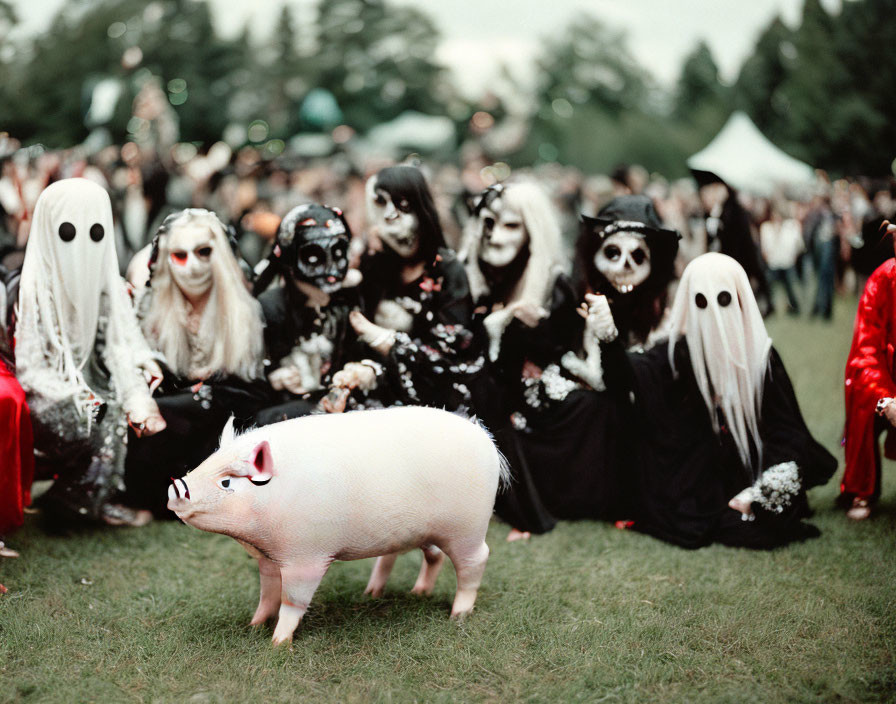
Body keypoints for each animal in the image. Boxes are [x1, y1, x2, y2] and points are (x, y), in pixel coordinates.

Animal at [164, 404, 508, 648]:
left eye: (226, 482)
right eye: (206, 461)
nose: (176, 486)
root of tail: (485, 437)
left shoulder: (306, 555)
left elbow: (292, 601)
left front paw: (278, 644)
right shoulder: (269, 557)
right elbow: (267, 593)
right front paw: (254, 625)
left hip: (468, 527)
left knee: (477, 560)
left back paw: (458, 615)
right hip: (426, 531)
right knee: (431, 555)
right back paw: (404, 592)